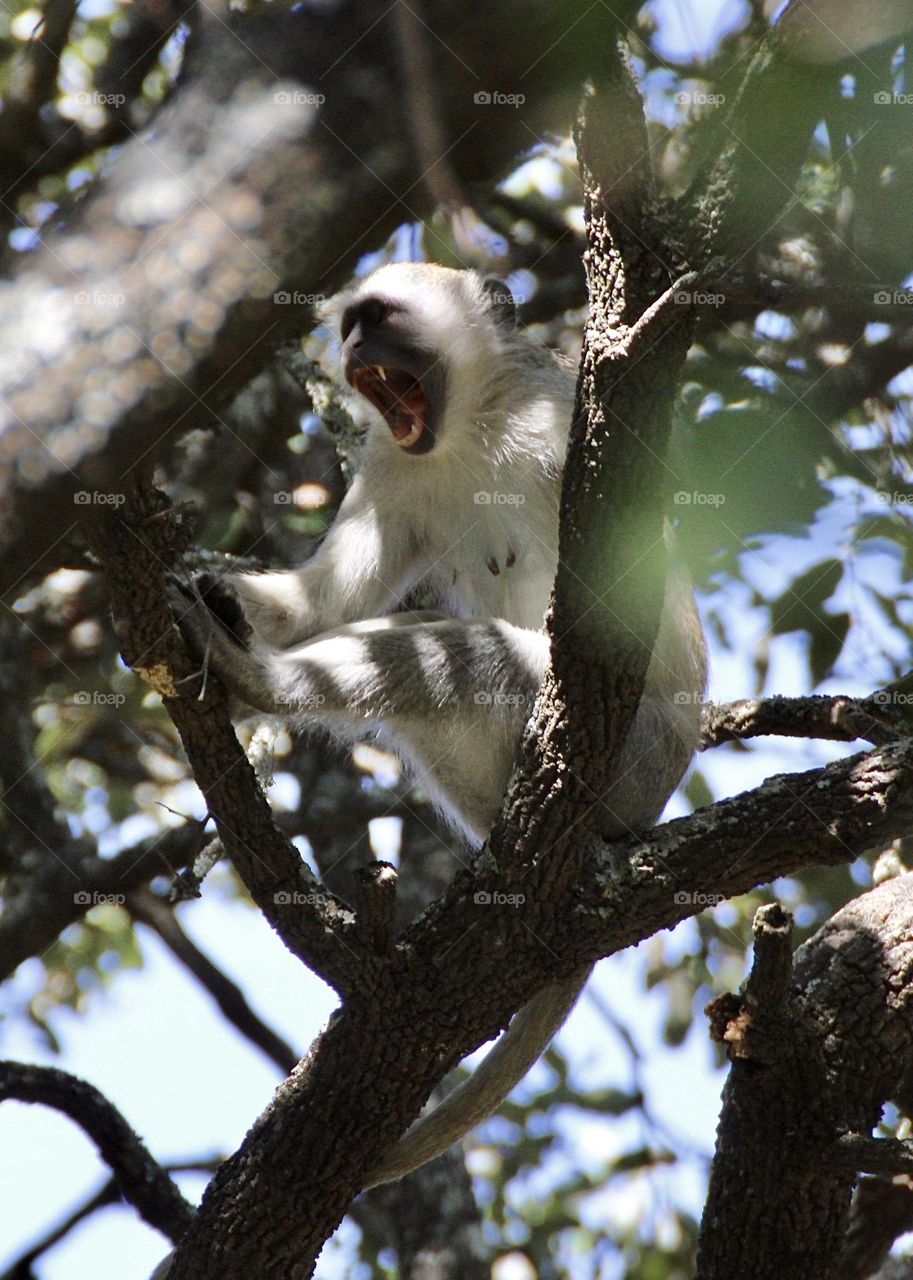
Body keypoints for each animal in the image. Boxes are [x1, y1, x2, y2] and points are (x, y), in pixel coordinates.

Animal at [173, 262, 708, 1188]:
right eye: (351, 324)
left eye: (380, 318)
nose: (353, 345)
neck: (471, 427)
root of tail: (641, 813)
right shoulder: (394, 464)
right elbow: (326, 601)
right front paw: (219, 595)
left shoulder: (562, 423)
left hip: (628, 757)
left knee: (455, 652)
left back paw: (253, 681)